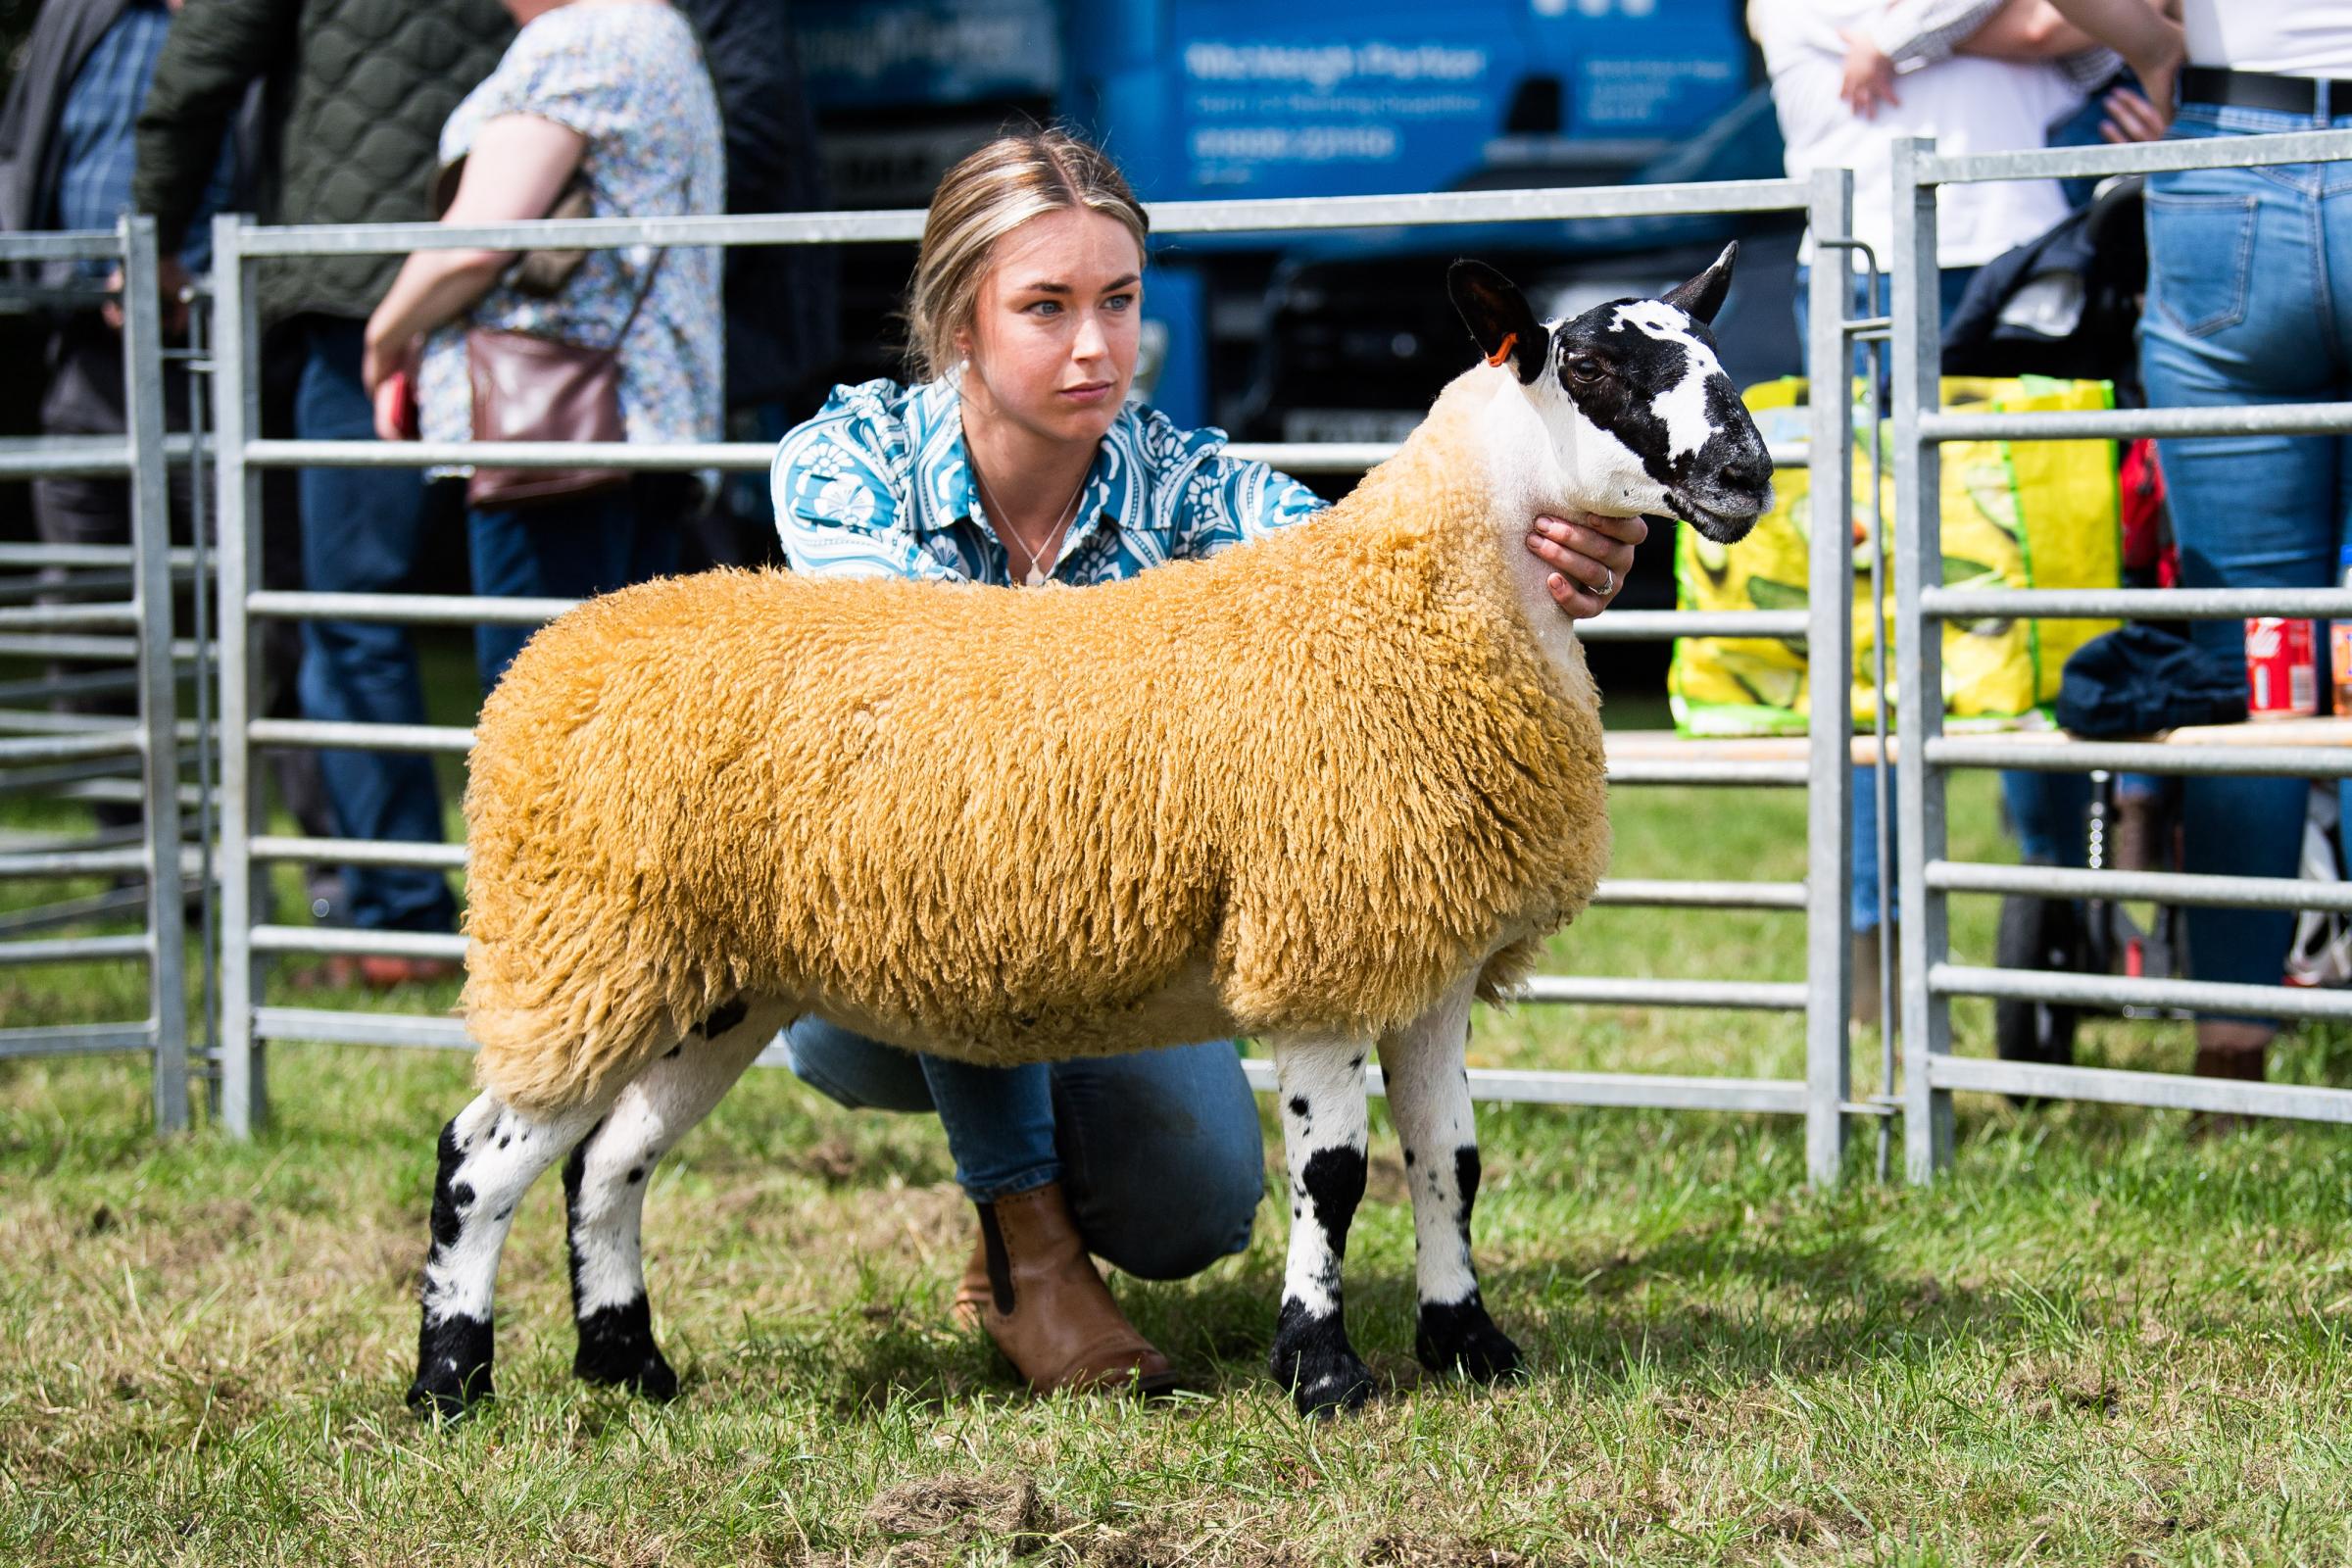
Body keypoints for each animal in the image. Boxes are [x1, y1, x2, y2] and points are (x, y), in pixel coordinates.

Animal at [409, 245, 1768, 1419]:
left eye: (1710, 346)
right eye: (1590, 366)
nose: (1747, 474)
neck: (1415, 600)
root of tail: (549, 660)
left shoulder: (1425, 954)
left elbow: (1451, 1159)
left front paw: (1471, 1344)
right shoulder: (1319, 942)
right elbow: (1333, 1175)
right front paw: (1322, 1372)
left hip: (713, 978)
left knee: (607, 1162)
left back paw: (629, 1365)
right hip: (584, 940)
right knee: (480, 1155)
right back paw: (451, 1382)